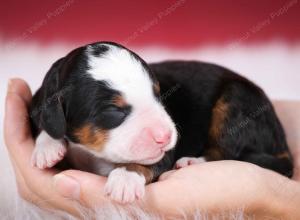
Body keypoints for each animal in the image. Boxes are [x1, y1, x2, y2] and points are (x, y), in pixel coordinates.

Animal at [29, 41, 292, 203]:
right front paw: (47, 147)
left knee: (229, 152)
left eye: (157, 95)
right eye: (114, 110)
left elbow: (147, 162)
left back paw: (192, 161)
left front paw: (125, 177)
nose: (165, 136)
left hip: (236, 101)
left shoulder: (163, 154)